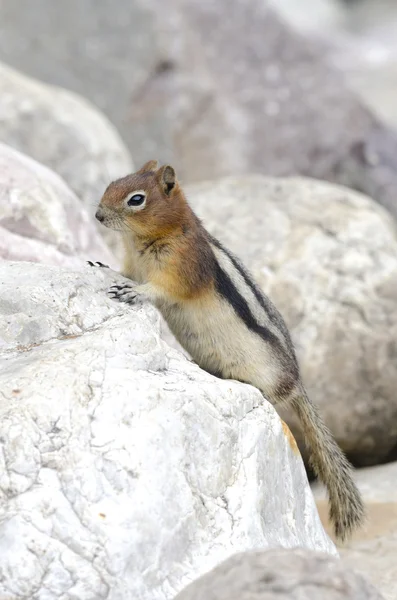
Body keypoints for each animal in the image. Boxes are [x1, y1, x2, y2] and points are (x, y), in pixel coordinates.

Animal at [93, 161, 366, 544]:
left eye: (136, 199)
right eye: (112, 184)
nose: (99, 215)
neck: (149, 238)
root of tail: (297, 384)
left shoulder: (184, 266)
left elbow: (162, 289)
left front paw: (135, 291)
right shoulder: (133, 262)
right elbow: (125, 271)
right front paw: (104, 268)